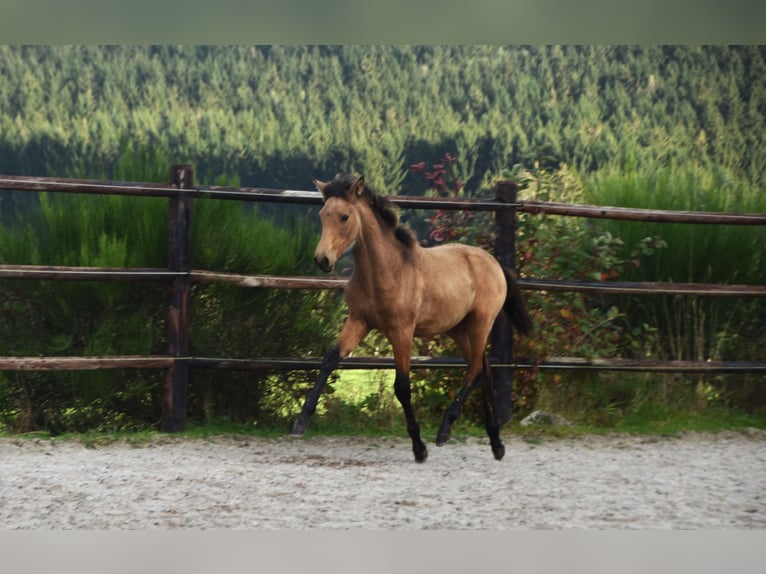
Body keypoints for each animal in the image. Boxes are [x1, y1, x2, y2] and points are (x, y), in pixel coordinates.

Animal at [292, 176, 532, 464]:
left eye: (344, 216)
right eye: (322, 214)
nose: (322, 260)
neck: (387, 271)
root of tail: (494, 262)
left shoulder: (401, 331)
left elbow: (402, 387)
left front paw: (419, 448)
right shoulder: (359, 321)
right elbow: (329, 361)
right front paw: (300, 422)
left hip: (480, 325)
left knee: (476, 369)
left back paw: (445, 430)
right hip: (459, 330)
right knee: (484, 370)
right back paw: (495, 443)